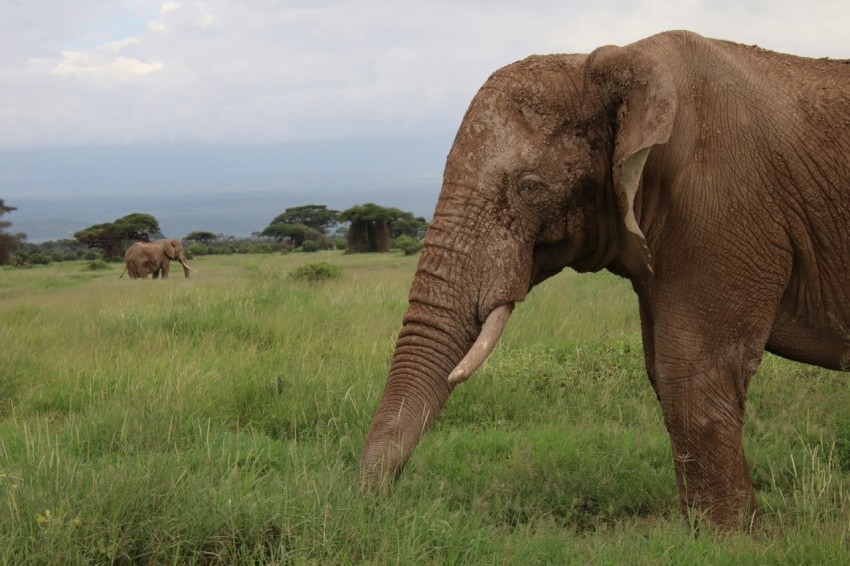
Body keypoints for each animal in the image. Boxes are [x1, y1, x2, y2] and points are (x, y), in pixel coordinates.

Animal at [358, 30, 848, 528]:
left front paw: (731, 537)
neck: (613, 62)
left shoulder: (724, 199)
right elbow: (665, 370)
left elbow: (694, 370)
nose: (375, 504)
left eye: (530, 187)